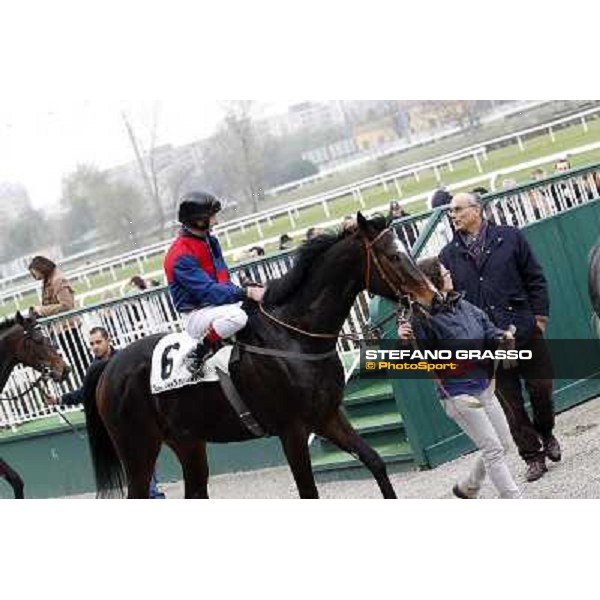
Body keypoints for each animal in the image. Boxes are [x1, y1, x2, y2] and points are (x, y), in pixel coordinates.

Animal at [83, 213, 432, 500]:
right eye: (394, 256)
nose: (432, 296)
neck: (294, 336)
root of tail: (110, 365)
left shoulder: (328, 416)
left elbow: (375, 461)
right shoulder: (292, 431)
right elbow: (308, 492)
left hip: (187, 442)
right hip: (138, 450)